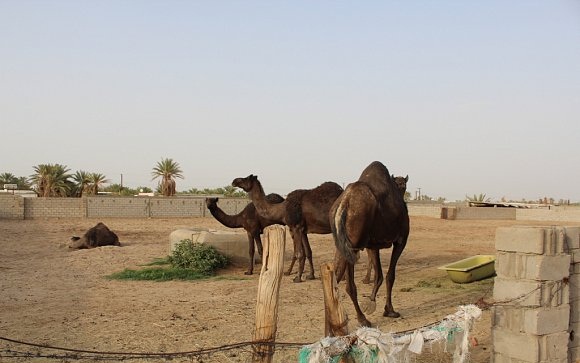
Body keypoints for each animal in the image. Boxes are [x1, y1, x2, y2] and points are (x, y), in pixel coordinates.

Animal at [330, 162, 408, 328]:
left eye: (404, 185)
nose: (402, 188)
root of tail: (344, 203)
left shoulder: (373, 245)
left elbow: (379, 275)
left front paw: (373, 302)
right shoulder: (401, 240)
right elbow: (390, 275)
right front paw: (389, 310)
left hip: (342, 243)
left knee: (337, 278)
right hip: (354, 243)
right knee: (348, 284)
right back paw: (362, 318)